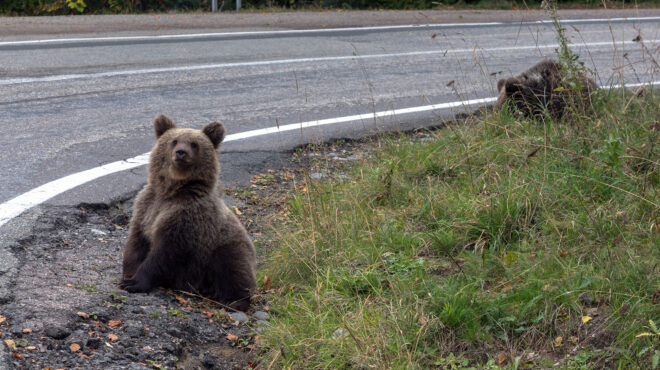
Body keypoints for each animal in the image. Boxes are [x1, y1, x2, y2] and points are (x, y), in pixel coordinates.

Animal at [120, 114, 256, 310]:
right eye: (174, 141)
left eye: (194, 143)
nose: (181, 152)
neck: (172, 191)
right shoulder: (146, 207)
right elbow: (137, 241)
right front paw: (128, 276)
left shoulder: (187, 218)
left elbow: (165, 253)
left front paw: (135, 282)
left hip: (227, 247)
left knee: (233, 269)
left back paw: (234, 301)